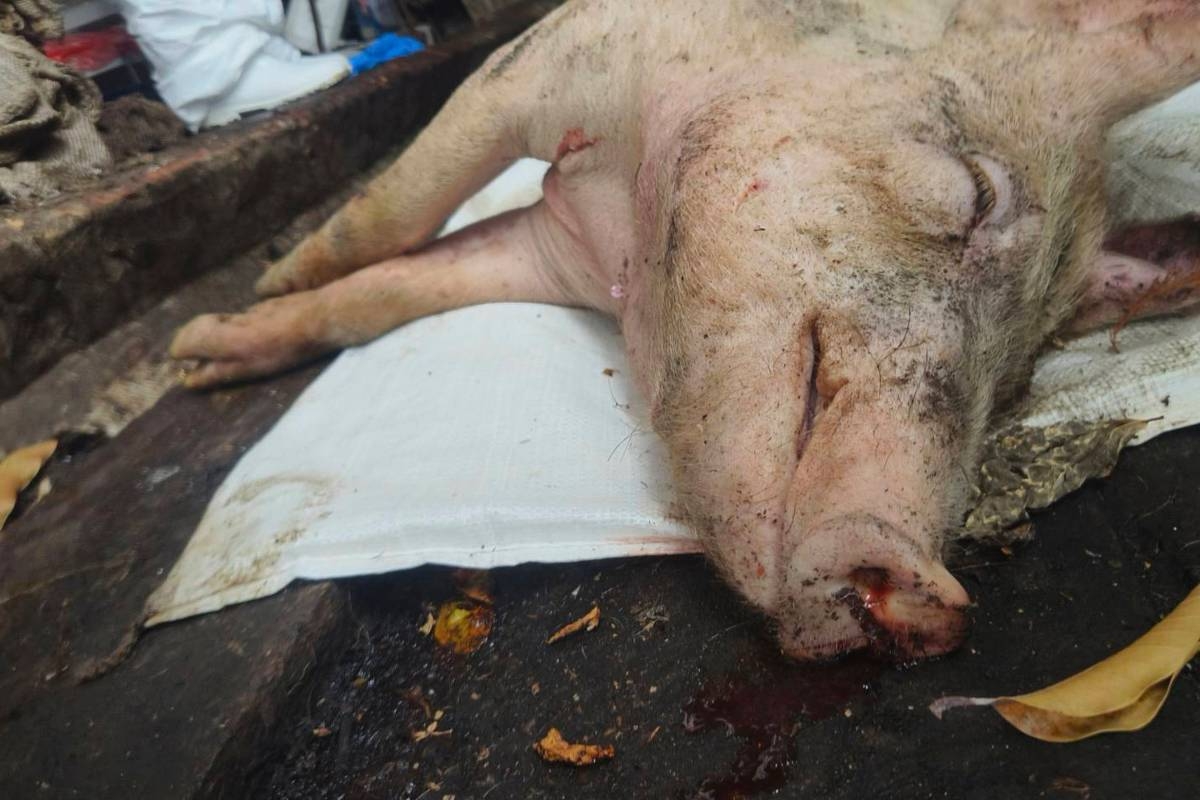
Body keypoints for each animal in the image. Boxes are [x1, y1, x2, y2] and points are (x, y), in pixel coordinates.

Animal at [170, 1, 1200, 661]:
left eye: (1020, 373)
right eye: (979, 194)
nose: (932, 596)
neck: (623, 235)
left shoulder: (553, 255)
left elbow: (386, 294)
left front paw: (203, 357)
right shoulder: (548, 59)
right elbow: (388, 215)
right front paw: (212, 339)